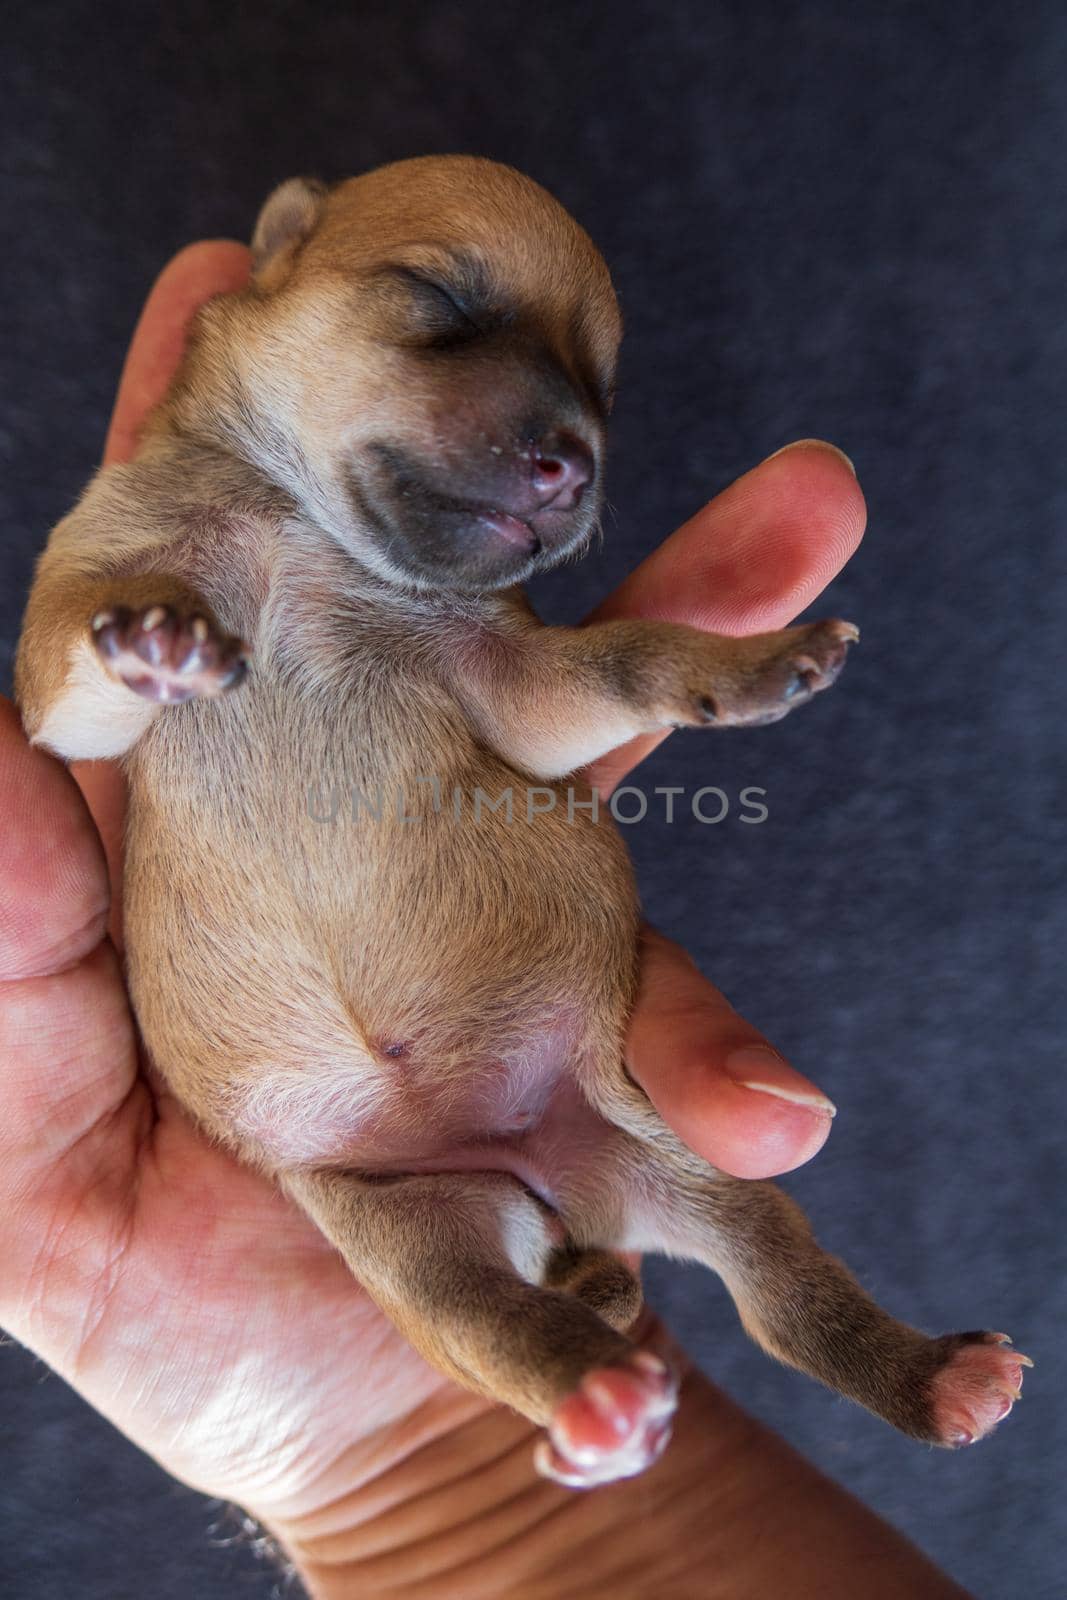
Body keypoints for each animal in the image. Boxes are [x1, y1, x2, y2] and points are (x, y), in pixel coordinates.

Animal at [14, 159, 1023, 1484]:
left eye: (602, 383)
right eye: (439, 298)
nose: (573, 461)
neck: (295, 527)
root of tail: (542, 1197)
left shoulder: (508, 675)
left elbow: (626, 660)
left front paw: (754, 664)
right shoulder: (77, 624)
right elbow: (84, 668)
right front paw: (159, 640)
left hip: (659, 1151)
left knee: (776, 1287)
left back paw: (932, 1375)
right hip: (406, 1231)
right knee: (501, 1324)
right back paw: (598, 1396)